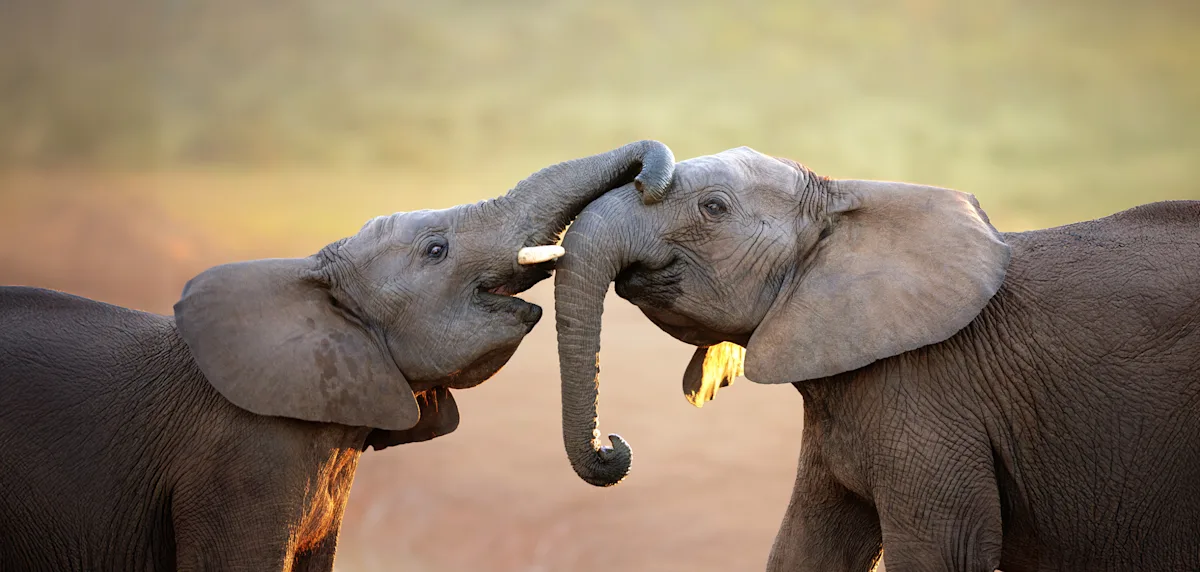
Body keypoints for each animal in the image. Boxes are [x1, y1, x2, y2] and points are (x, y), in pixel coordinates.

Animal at [551, 146, 1200, 571]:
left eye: (713, 208)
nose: (613, 447)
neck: (845, 199)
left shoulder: (931, 394)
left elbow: (942, 551)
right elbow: (806, 548)